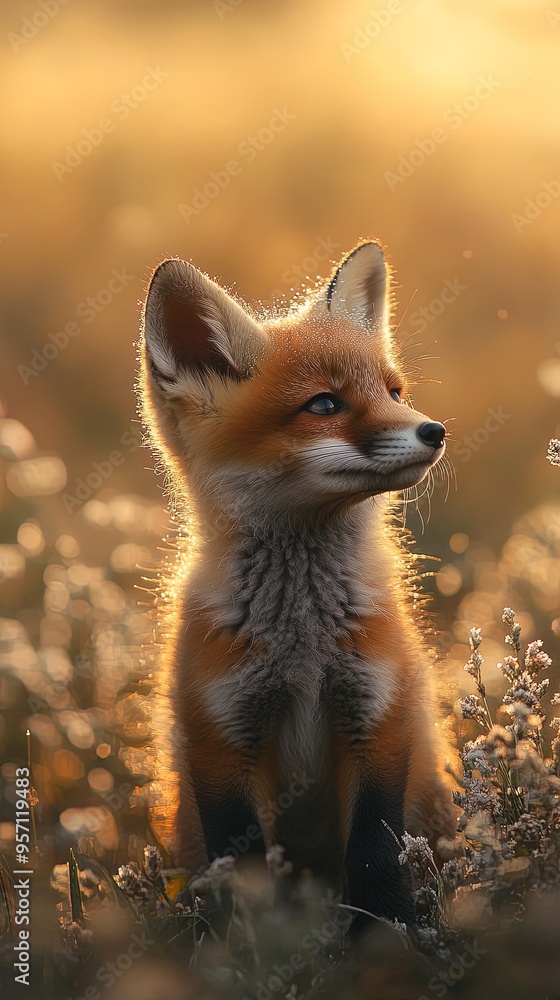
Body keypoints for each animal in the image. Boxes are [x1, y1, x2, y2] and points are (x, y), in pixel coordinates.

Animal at [137, 239, 457, 927]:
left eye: (394, 391)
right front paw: (252, 941)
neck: (302, 647)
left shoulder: (378, 719)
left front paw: (387, 936)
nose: (435, 431)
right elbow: (246, 868)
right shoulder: (220, 740)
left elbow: (375, 855)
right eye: (325, 405)